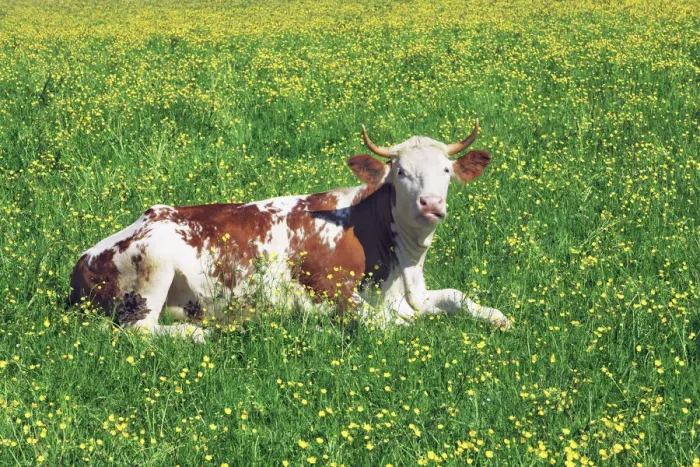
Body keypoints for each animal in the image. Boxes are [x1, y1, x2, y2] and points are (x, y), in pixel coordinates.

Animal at [69, 121, 512, 342]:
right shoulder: (332, 291)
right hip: (154, 265)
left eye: (446, 170)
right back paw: (197, 334)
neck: (400, 262)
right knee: (140, 332)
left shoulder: (413, 295)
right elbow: (386, 324)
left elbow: (456, 297)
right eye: (400, 172)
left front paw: (499, 318)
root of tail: (83, 260)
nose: (431, 204)